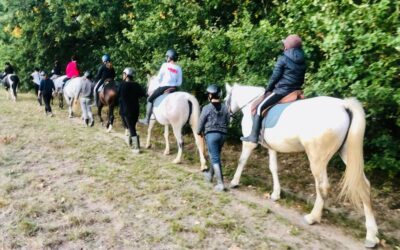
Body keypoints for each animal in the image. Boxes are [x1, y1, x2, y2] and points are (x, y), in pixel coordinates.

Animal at [227, 83, 380, 248]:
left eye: (226, 98)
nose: (227, 115)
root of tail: (343, 105)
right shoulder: (272, 147)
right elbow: (273, 168)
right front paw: (276, 194)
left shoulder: (249, 143)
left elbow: (242, 160)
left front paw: (234, 182)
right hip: (347, 154)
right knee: (363, 186)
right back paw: (371, 236)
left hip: (317, 159)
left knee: (323, 186)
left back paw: (313, 217)